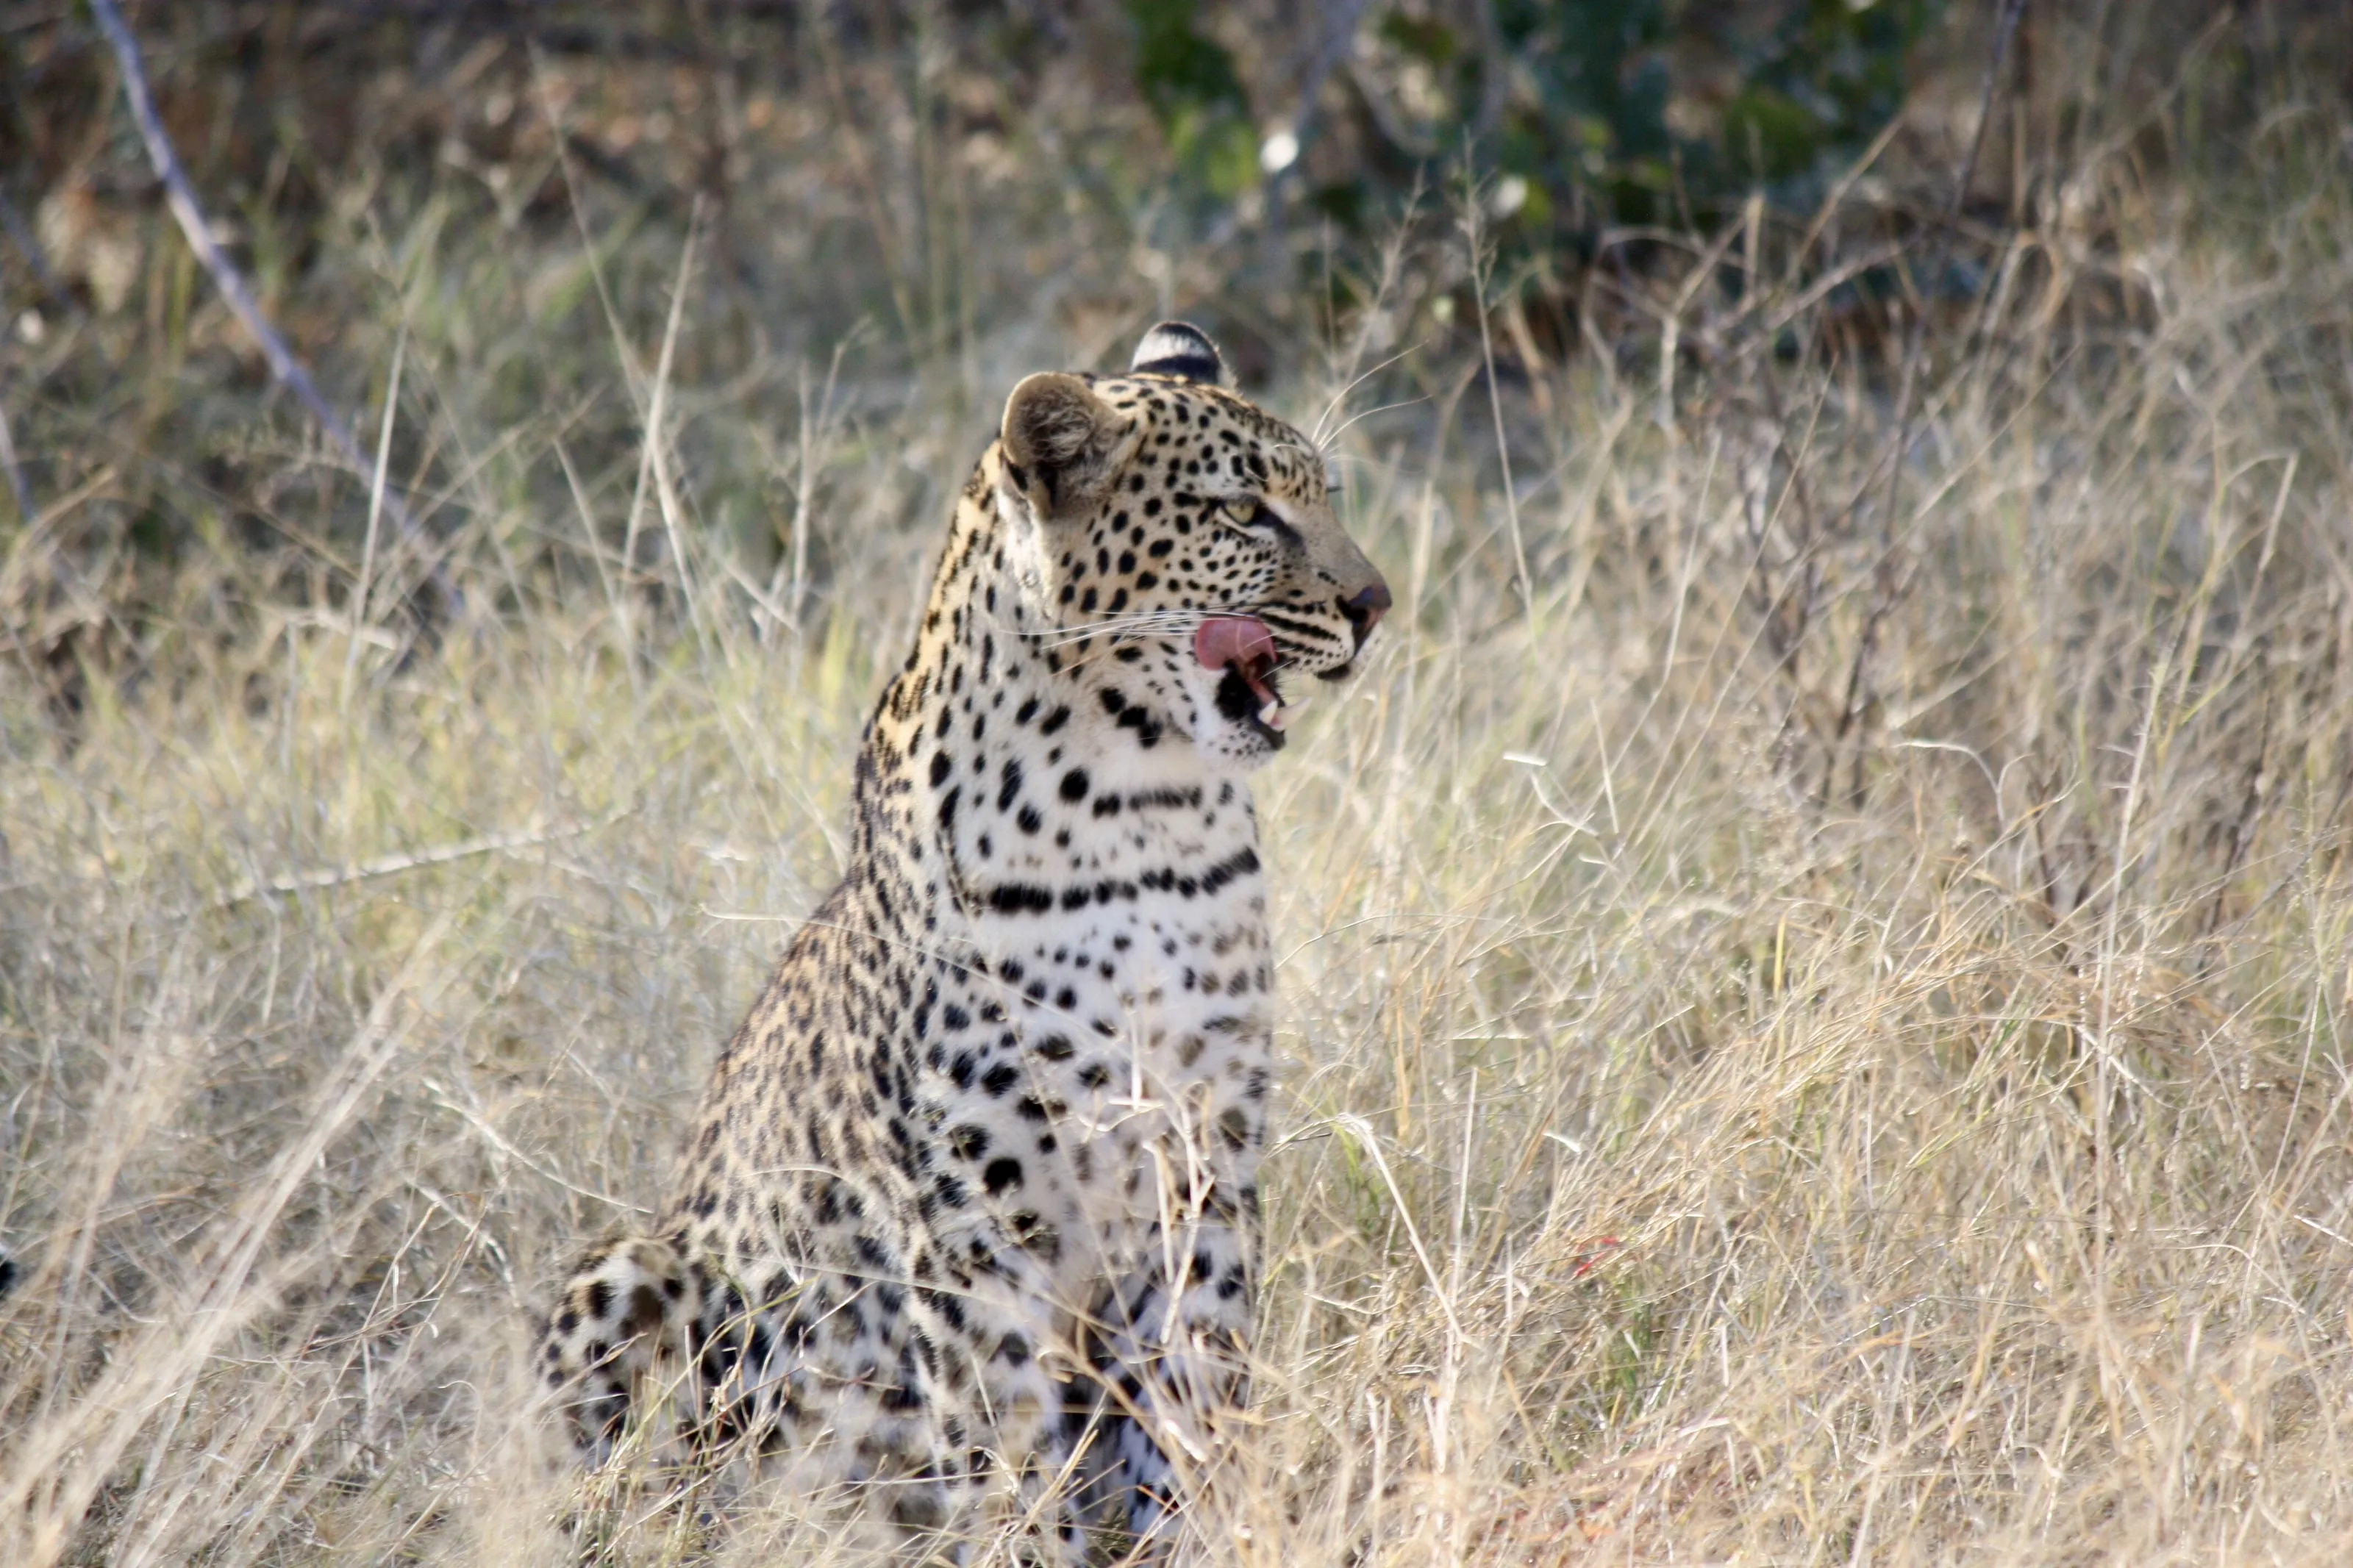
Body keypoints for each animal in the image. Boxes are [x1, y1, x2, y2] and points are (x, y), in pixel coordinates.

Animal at [537, 322, 1390, 1563]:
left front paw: (1202, 1530)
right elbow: (1005, 1435)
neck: (1149, 810)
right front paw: (1033, 1543)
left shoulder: (1208, 1155)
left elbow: (1194, 1388)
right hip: (624, 1277)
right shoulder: (975, 1209)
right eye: (1244, 513)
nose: (1377, 602)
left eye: (1323, 496)